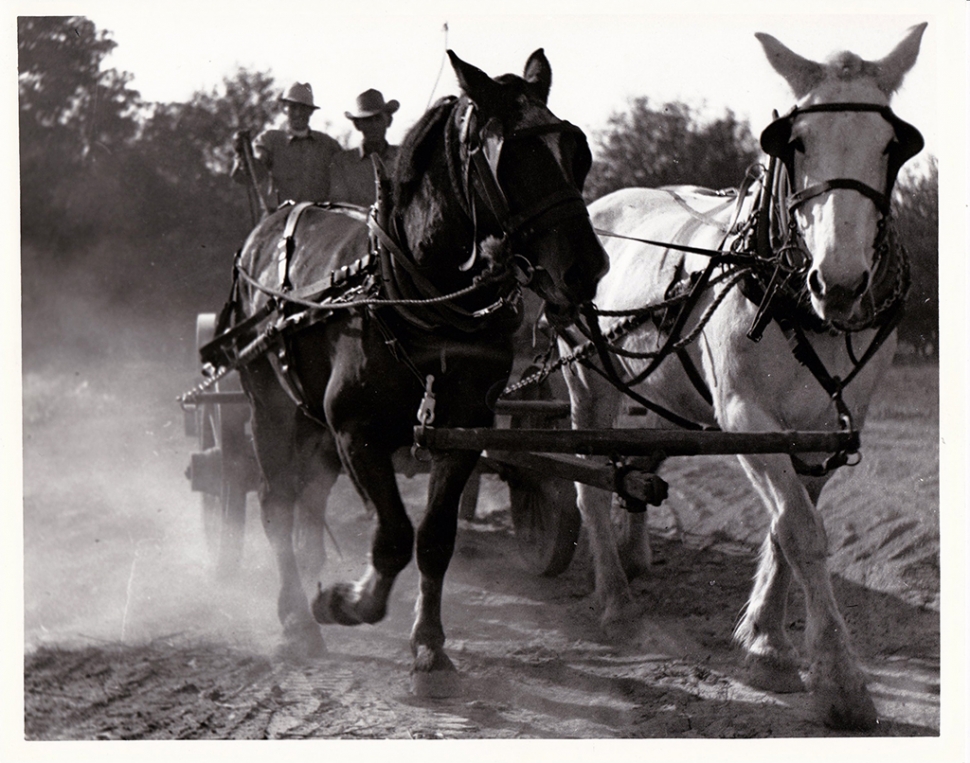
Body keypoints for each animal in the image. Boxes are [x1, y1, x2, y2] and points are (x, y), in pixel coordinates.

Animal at [230, 49, 607, 695]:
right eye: (511, 158)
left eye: (575, 148)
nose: (587, 268)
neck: (420, 293)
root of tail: (271, 222)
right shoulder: (355, 428)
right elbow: (391, 537)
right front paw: (344, 602)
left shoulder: (463, 428)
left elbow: (433, 538)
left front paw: (428, 645)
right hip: (270, 410)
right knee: (277, 505)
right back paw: (296, 621)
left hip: (315, 430)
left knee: (309, 502)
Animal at [559, 24, 926, 730]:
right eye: (797, 141)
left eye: (892, 144)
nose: (840, 284)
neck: (796, 300)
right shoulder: (742, 415)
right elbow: (800, 531)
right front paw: (839, 682)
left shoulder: (828, 427)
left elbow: (789, 527)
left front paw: (768, 641)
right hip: (588, 380)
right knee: (587, 480)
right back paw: (615, 601)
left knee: (631, 465)